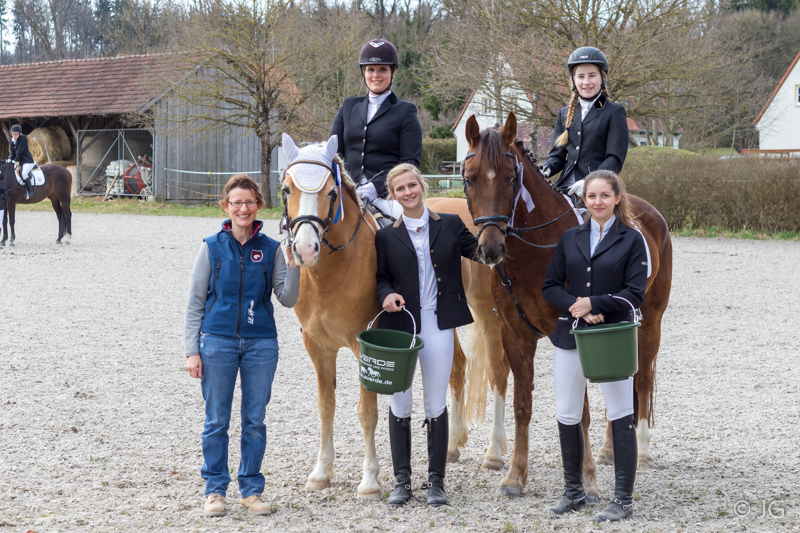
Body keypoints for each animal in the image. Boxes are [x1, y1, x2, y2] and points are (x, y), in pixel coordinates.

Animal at [279, 132, 509, 498]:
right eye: (287, 190)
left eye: (331, 193)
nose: (304, 250)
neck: (331, 272)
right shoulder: (317, 347)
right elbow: (325, 406)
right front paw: (320, 473)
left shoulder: (364, 344)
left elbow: (367, 413)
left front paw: (370, 480)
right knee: (457, 367)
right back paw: (452, 446)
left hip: (487, 313)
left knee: (498, 372)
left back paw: (495, 453)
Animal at [460, 112, 673, 498]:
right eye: (469, 179)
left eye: (511, 178)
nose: (491, 248)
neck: (536, 252)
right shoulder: (515, 334)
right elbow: (523, 405)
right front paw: (515, 475)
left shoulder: (576, 335)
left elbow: (581, 410)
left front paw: (587, 479)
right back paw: (609, 450)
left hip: (650, 321)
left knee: (643, 378)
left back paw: (643, 450)